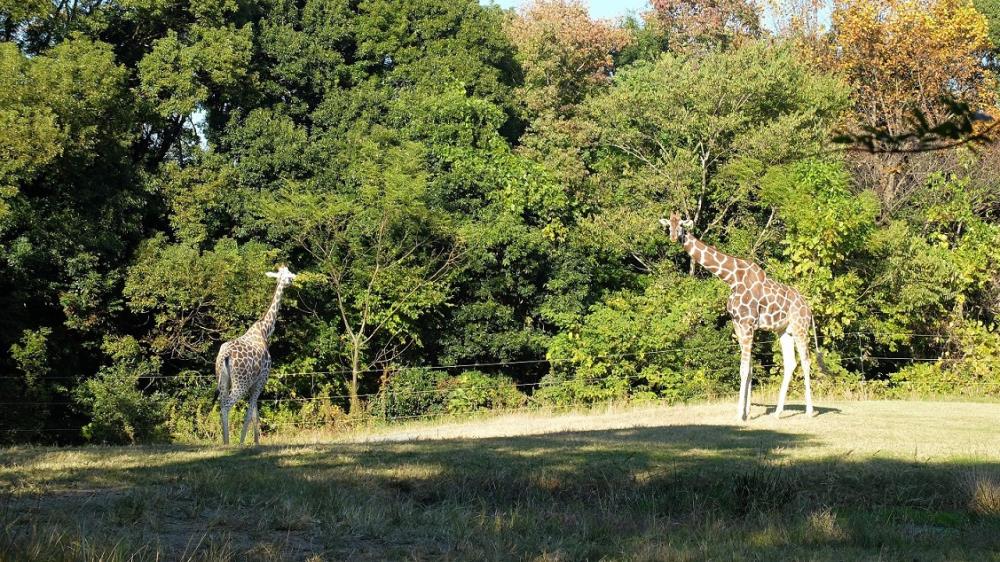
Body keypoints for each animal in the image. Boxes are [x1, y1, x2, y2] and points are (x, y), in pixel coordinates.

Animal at [216, 262, 296, 442]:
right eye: (287, 274)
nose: (292, 280)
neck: (265, 330)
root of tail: (225, 356)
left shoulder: (254, 383)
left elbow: (254, 414)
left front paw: (256, 441)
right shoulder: (261, 379)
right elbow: (250, 414)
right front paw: (245, 442)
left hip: (223, 380)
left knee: (221, 403)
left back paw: (224, 441)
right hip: (241, 383)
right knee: (226, 406)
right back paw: (229, 442)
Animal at [656, 212, 820, 418]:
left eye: (681, 226)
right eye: (668, 226)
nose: (672, 237)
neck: (732, 279)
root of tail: (809, 308)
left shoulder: (748, 323)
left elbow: (743, 369)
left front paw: (739, 415)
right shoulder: (738, 324)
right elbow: (748, 368)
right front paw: (747, 412)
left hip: (800, 328)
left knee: (806, 361)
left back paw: (810, 411)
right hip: (783, 330)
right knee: (790, 363)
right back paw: (778, 412)